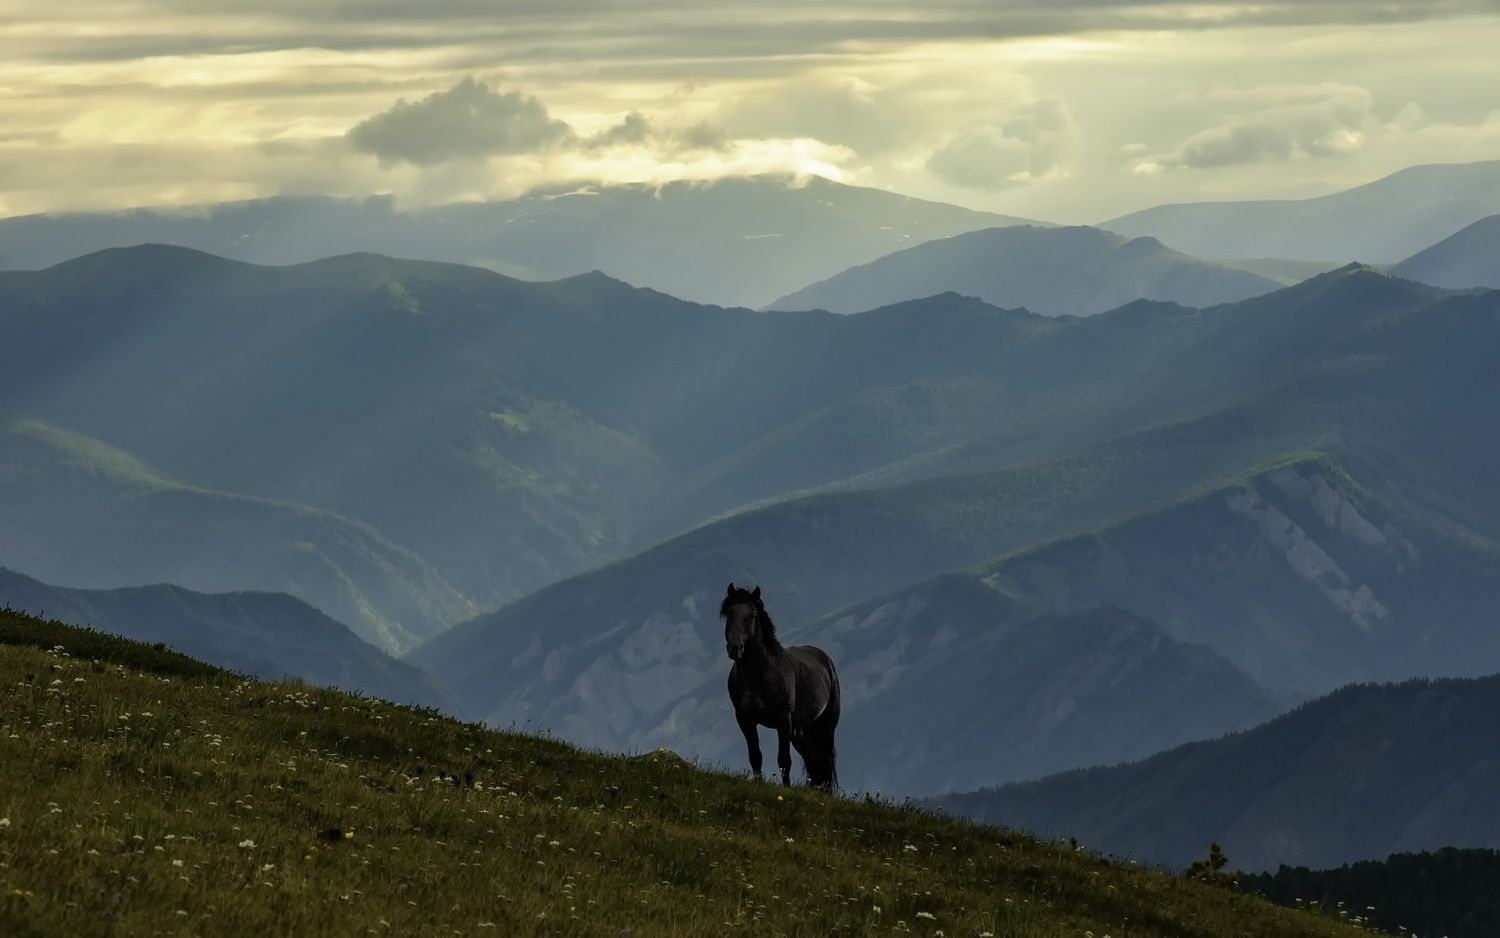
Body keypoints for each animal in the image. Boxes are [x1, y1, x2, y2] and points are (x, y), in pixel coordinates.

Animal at [720, 579, 840, 792]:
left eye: (752, 615)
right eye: (729, 613)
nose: (734, 648)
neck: (759, 674)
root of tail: (826, 660)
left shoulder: (783, 721)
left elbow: (784, 760)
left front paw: (786, 789)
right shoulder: (745, 719)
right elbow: (755, 756)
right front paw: (758, 784)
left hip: (825, 726)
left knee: (823, 760)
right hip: (801, 733)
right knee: (814, 761)